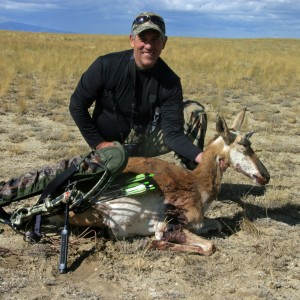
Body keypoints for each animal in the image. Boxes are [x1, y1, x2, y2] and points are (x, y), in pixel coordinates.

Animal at [65, 109, 270, 254]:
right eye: (243, 145)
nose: (266, 176)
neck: (195, 183)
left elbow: (217, 225)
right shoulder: (169, 226)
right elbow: (209, 246)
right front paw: (156, 243)